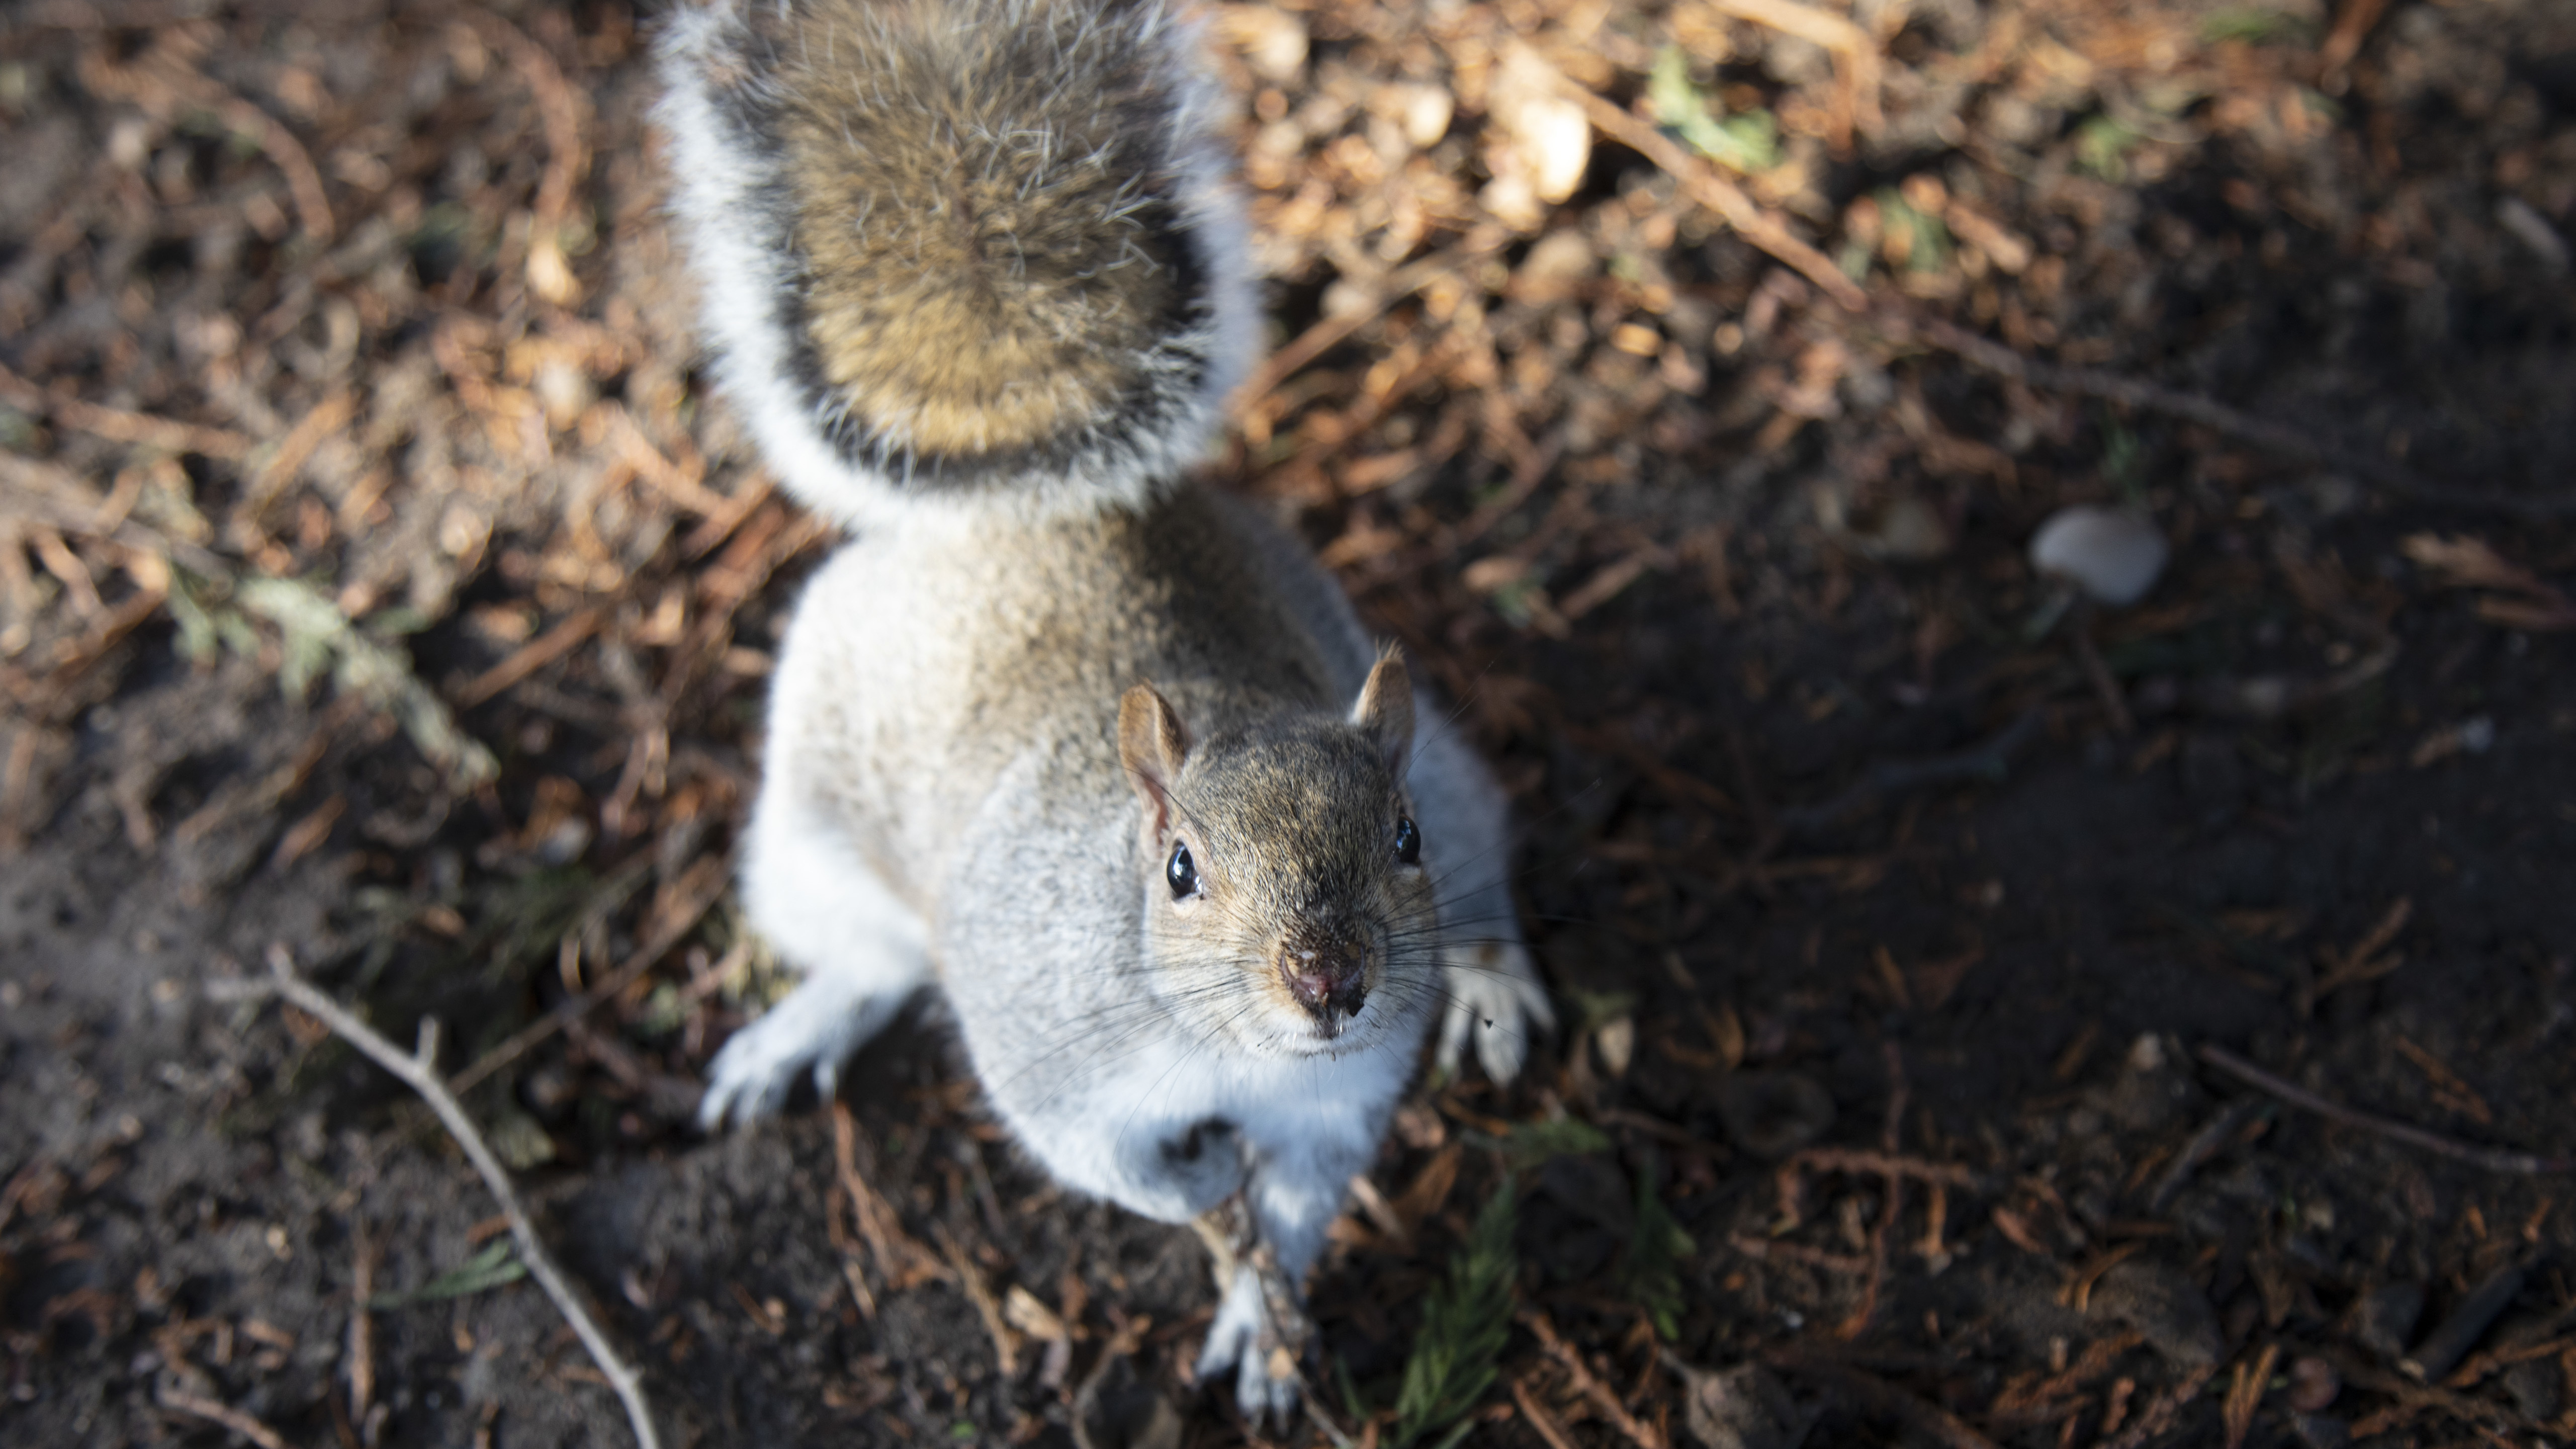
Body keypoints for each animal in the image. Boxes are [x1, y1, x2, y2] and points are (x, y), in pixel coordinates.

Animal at [659, 0, 1545, 1413]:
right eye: (1177, 870)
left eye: (1394, 841)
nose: (1331, 981)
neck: (1238, 1056)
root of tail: (1041, 505)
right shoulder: (1045, 1042)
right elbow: (1101, 1159)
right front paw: (1198, 1188)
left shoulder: (1339, 1101)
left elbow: (1303, 1198)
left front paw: (1259, 1314)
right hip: (801, 832)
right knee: (868, 957)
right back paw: (796, 1030)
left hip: (1440, 762)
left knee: (1488, 842)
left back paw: (1494, 985)